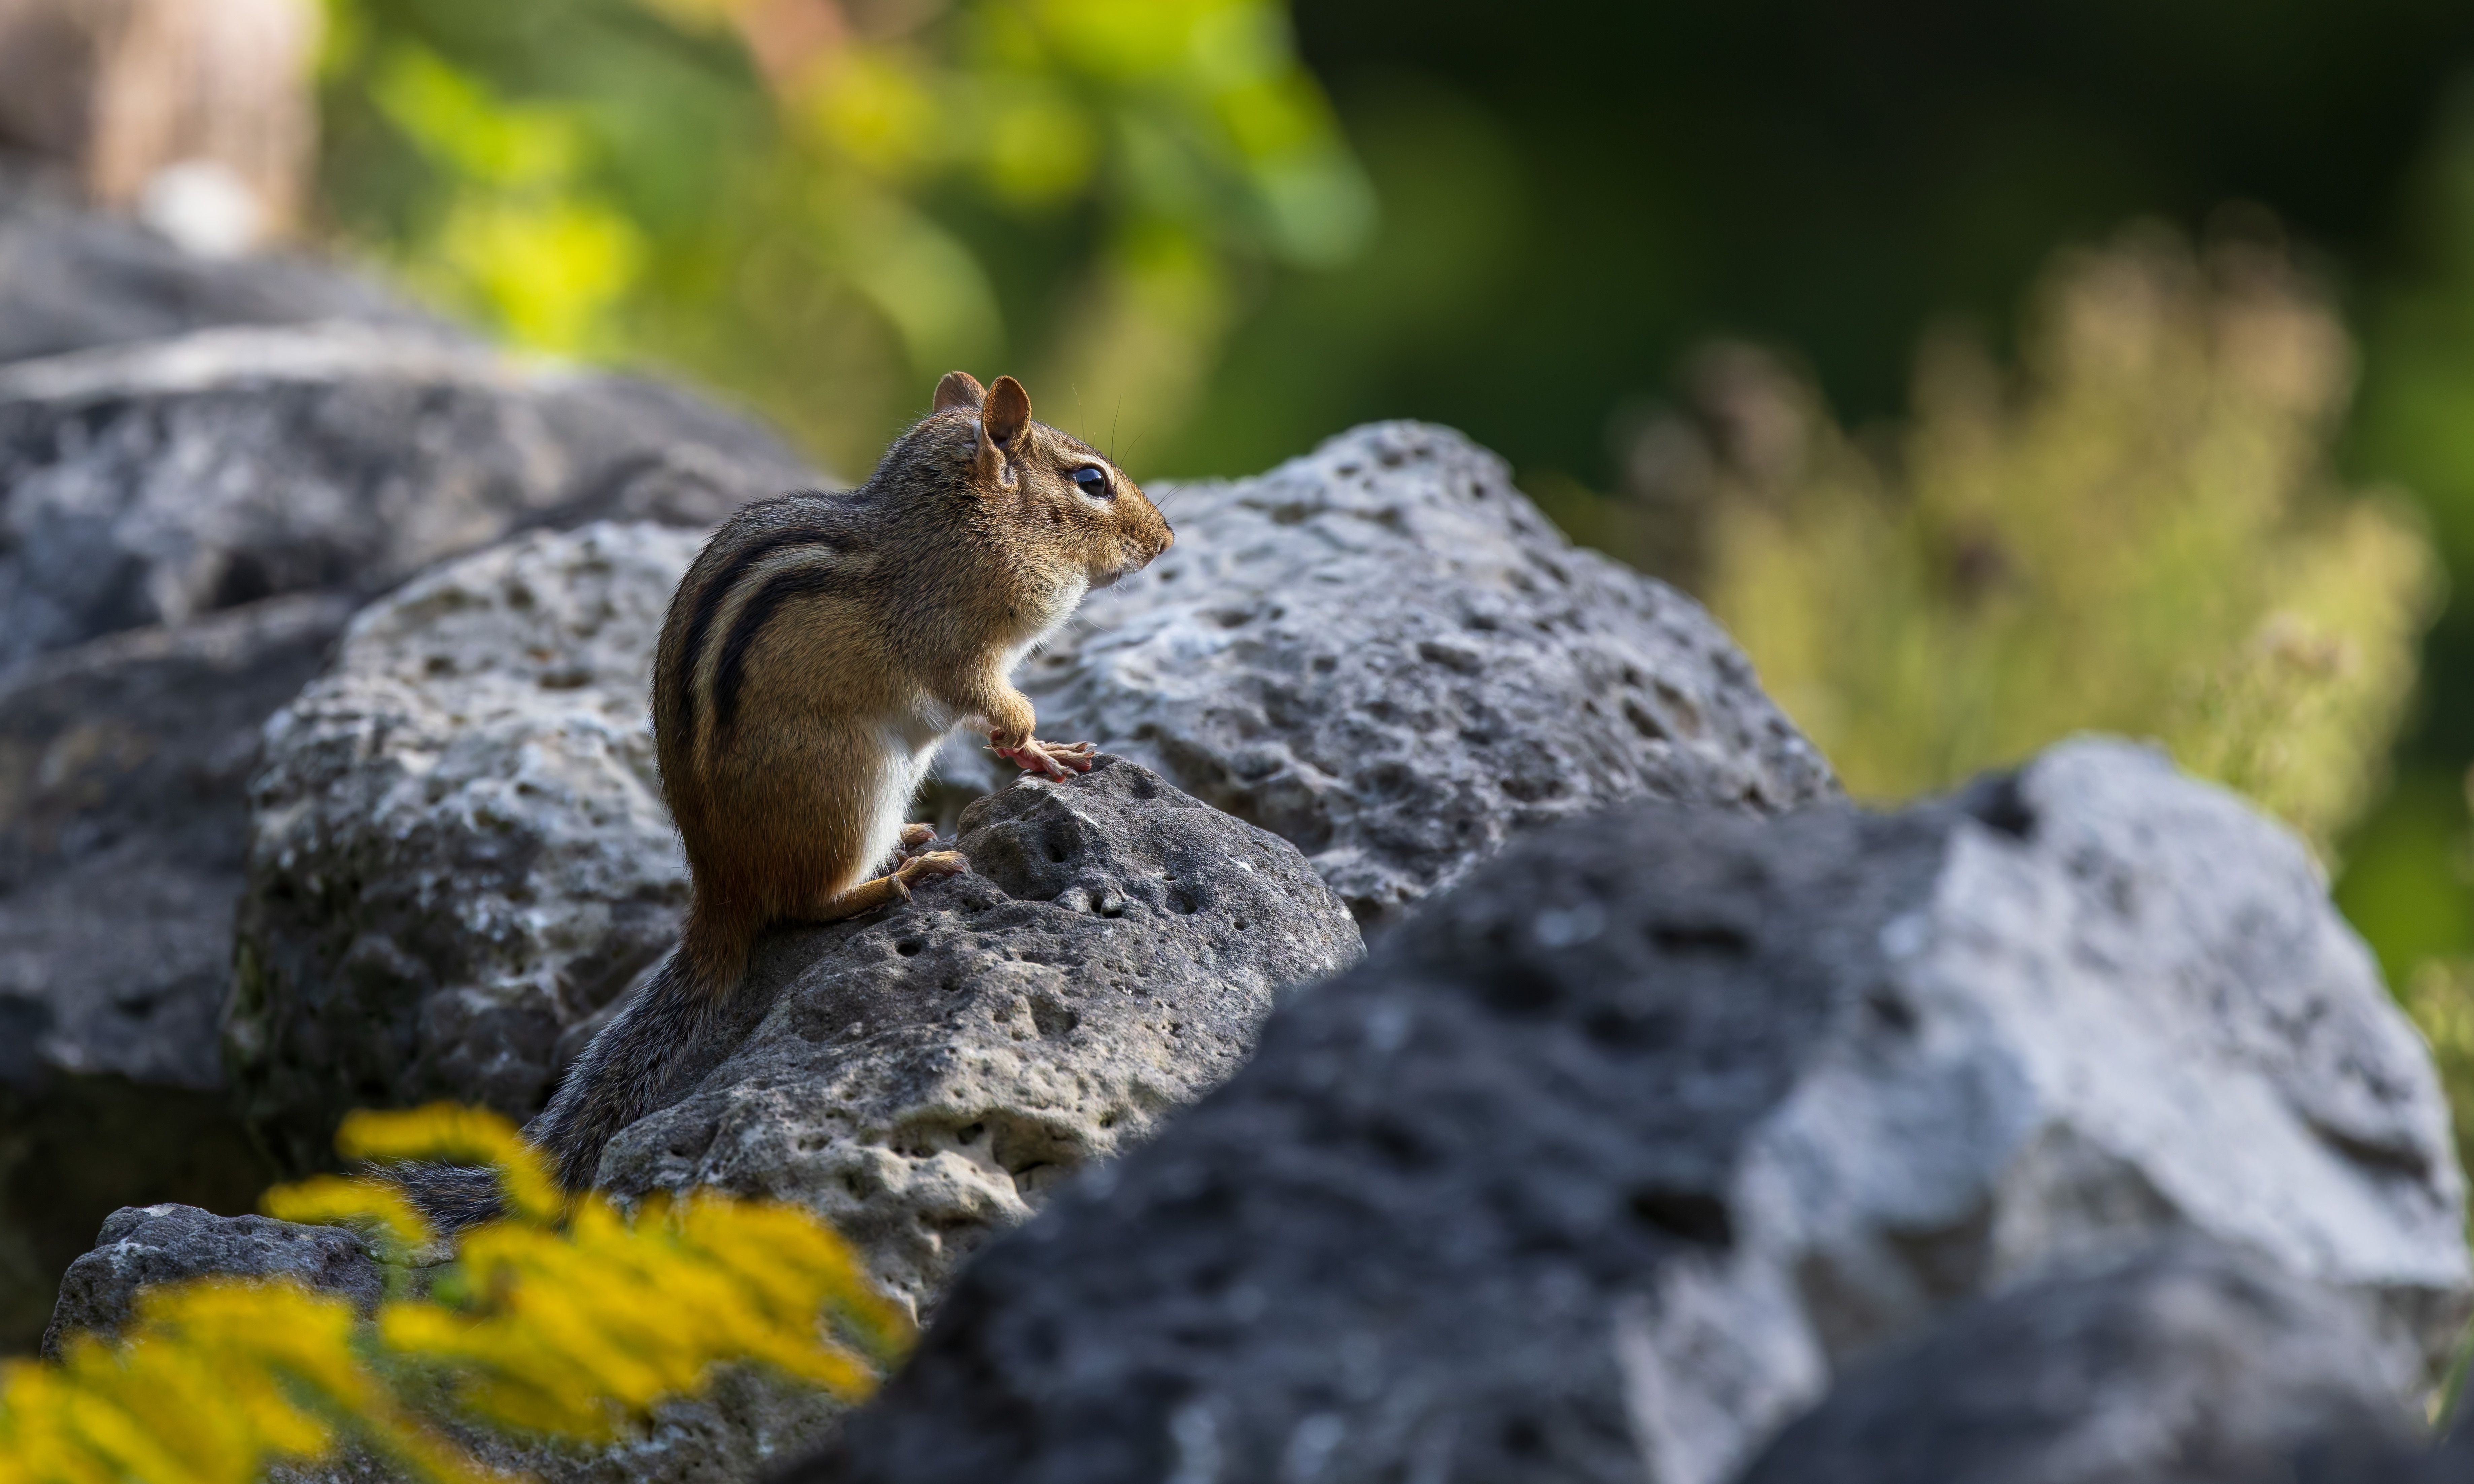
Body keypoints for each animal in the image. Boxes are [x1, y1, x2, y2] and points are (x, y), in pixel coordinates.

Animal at [397, 372, 1174, 1223]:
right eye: (1091, 480)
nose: (1166, 540)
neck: (961, 525)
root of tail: (719, 889)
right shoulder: (957, 645)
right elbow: (994, 704)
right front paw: (1038, 744)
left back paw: (907, 845)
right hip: (852, 787)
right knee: (802, 905)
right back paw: (899, 876)